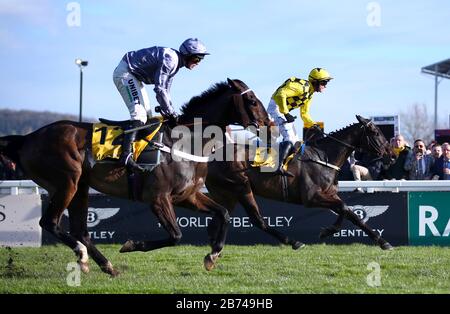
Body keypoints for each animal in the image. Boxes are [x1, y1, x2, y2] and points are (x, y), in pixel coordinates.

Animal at [0, 78, 270, 274]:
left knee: (80, 230)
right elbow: (176, 235)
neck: (184, 141)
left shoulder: (187, 196)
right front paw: (132, 245)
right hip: (66, 182)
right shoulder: (158, 198)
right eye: (252, 101)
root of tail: (27, 138)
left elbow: (223, 213)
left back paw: (105, 265)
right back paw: (82, 254)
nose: (269, 124)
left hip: (81, 186)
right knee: (50, 222)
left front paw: (212, 256)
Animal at [206, 115, 396, 250]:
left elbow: (349, 212)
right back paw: (293, 242)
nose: (392, 155)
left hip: (226, 194)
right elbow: (344, 208)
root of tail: (210, 158)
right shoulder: (311, 198)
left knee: (219, 217)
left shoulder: (329, 194)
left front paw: (382, 241)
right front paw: (327, 232)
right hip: (241, 188)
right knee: (257, 220)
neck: (324, 156)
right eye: (376, 133)